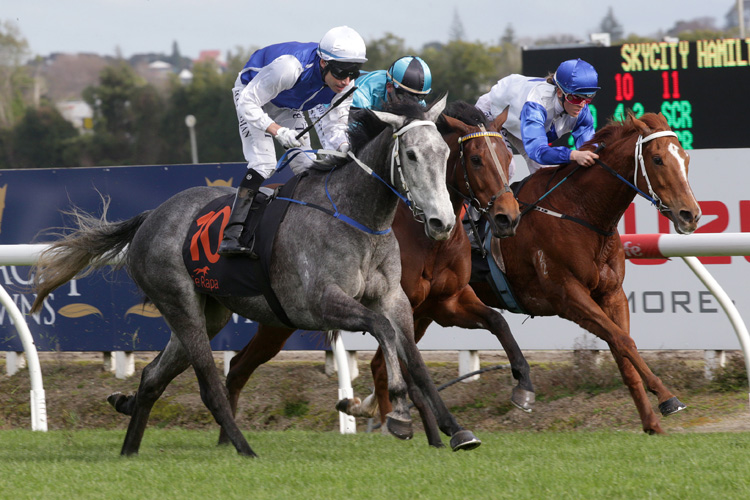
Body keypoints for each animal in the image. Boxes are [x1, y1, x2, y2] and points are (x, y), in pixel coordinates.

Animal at [30, 94, 482, 458]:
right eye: (411, 155)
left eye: (444, 154)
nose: (442, 223)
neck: (356, 217)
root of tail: (150, 217)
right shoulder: (320, 303)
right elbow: (383, 332)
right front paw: (400, 412)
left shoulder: (394, 299)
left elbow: (415, 359)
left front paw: (456, 430)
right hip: (180, 303)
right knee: (209, 386)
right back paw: (244, 448)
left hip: (208, 312)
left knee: (152, 377)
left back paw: (129, 449)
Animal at [220, 102, 532, 450]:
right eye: (476, 159)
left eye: (507, 157)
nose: (508, 217)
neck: (426, 237)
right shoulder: (405, 306)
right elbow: (399, 368)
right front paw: (414, 423)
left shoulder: (444, 303)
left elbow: (497, 322)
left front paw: (523, 386)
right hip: (280, 319)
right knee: (241, 366)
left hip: (280, 320)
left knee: (238, 367)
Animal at [372, 111, 704, 436]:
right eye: (658, 159)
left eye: (686, 157)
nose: (691, 214)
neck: (579, 211)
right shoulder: (568, 296)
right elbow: (623, 341)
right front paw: (667, 397)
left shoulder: (612, 294)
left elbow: (623, 349)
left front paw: (652, 422)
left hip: (425, 311)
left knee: (380, 363)